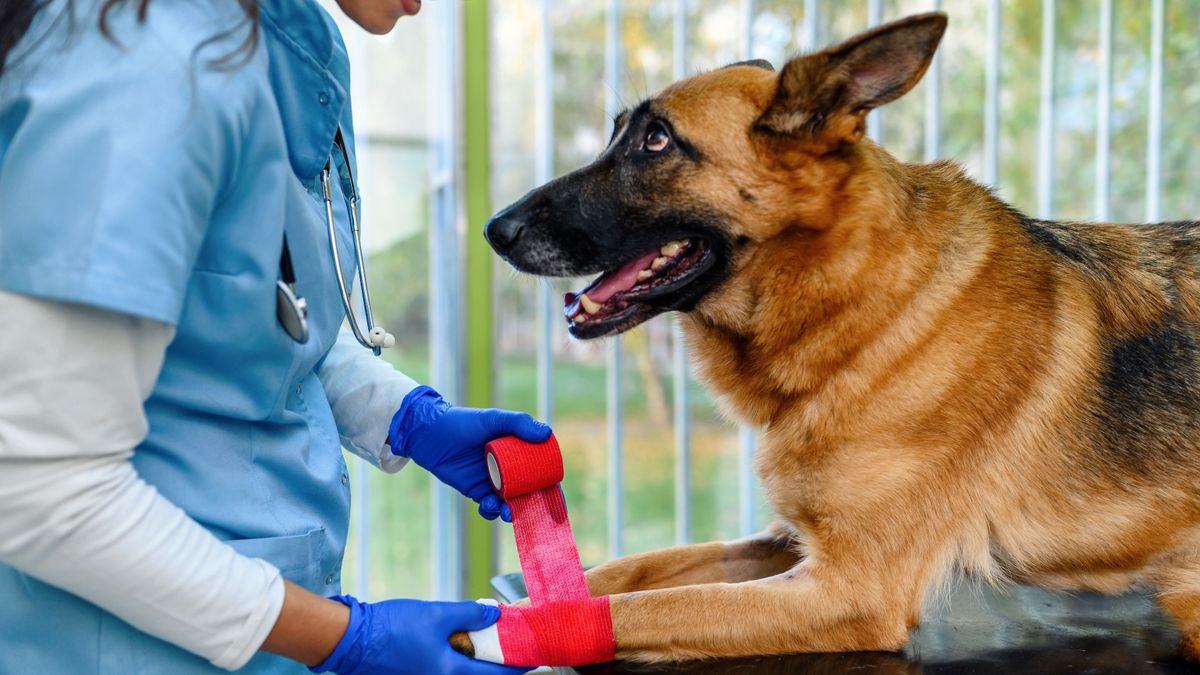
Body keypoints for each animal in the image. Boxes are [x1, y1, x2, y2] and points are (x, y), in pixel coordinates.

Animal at [477, 10, 1200, 662]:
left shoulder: (846, 590)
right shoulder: (783, 540)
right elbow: (631, 571)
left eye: (656, 140)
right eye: (618, 134)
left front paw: (504, 632)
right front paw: (503, 604)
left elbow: (652, 606)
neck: (863, 308)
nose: (494, 230)